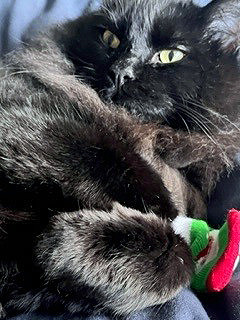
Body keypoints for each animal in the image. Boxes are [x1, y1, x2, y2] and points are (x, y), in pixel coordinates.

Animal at [0, 0, 240, 318]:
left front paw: (63, 244)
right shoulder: (24, 117)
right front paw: (160, 205)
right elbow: (102, 153)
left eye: (171, 55)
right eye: (109, 39)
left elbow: (180, 260)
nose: (120, 72)